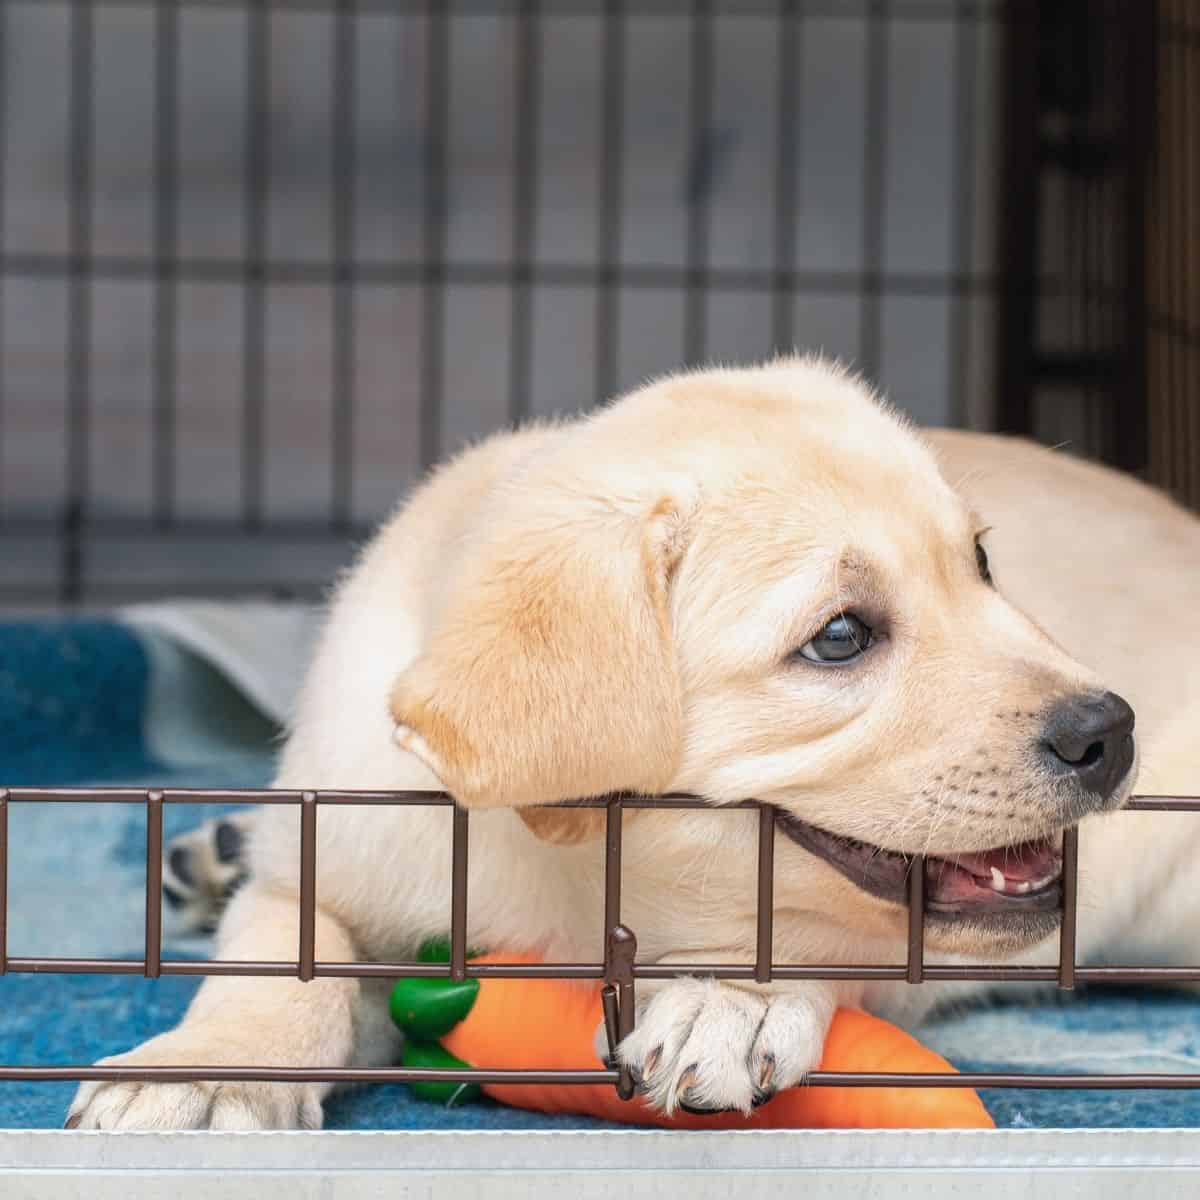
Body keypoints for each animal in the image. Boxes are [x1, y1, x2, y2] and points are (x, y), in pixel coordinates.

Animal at [70, 360, 1195, 1128]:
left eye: (983, 566)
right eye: (840, 636)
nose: (1110, 730)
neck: (572, 881)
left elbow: (805, 933)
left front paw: (734, 1001)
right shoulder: (338, 852)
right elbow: (282, 955)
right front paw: (210, 1068)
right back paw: (211, 853)